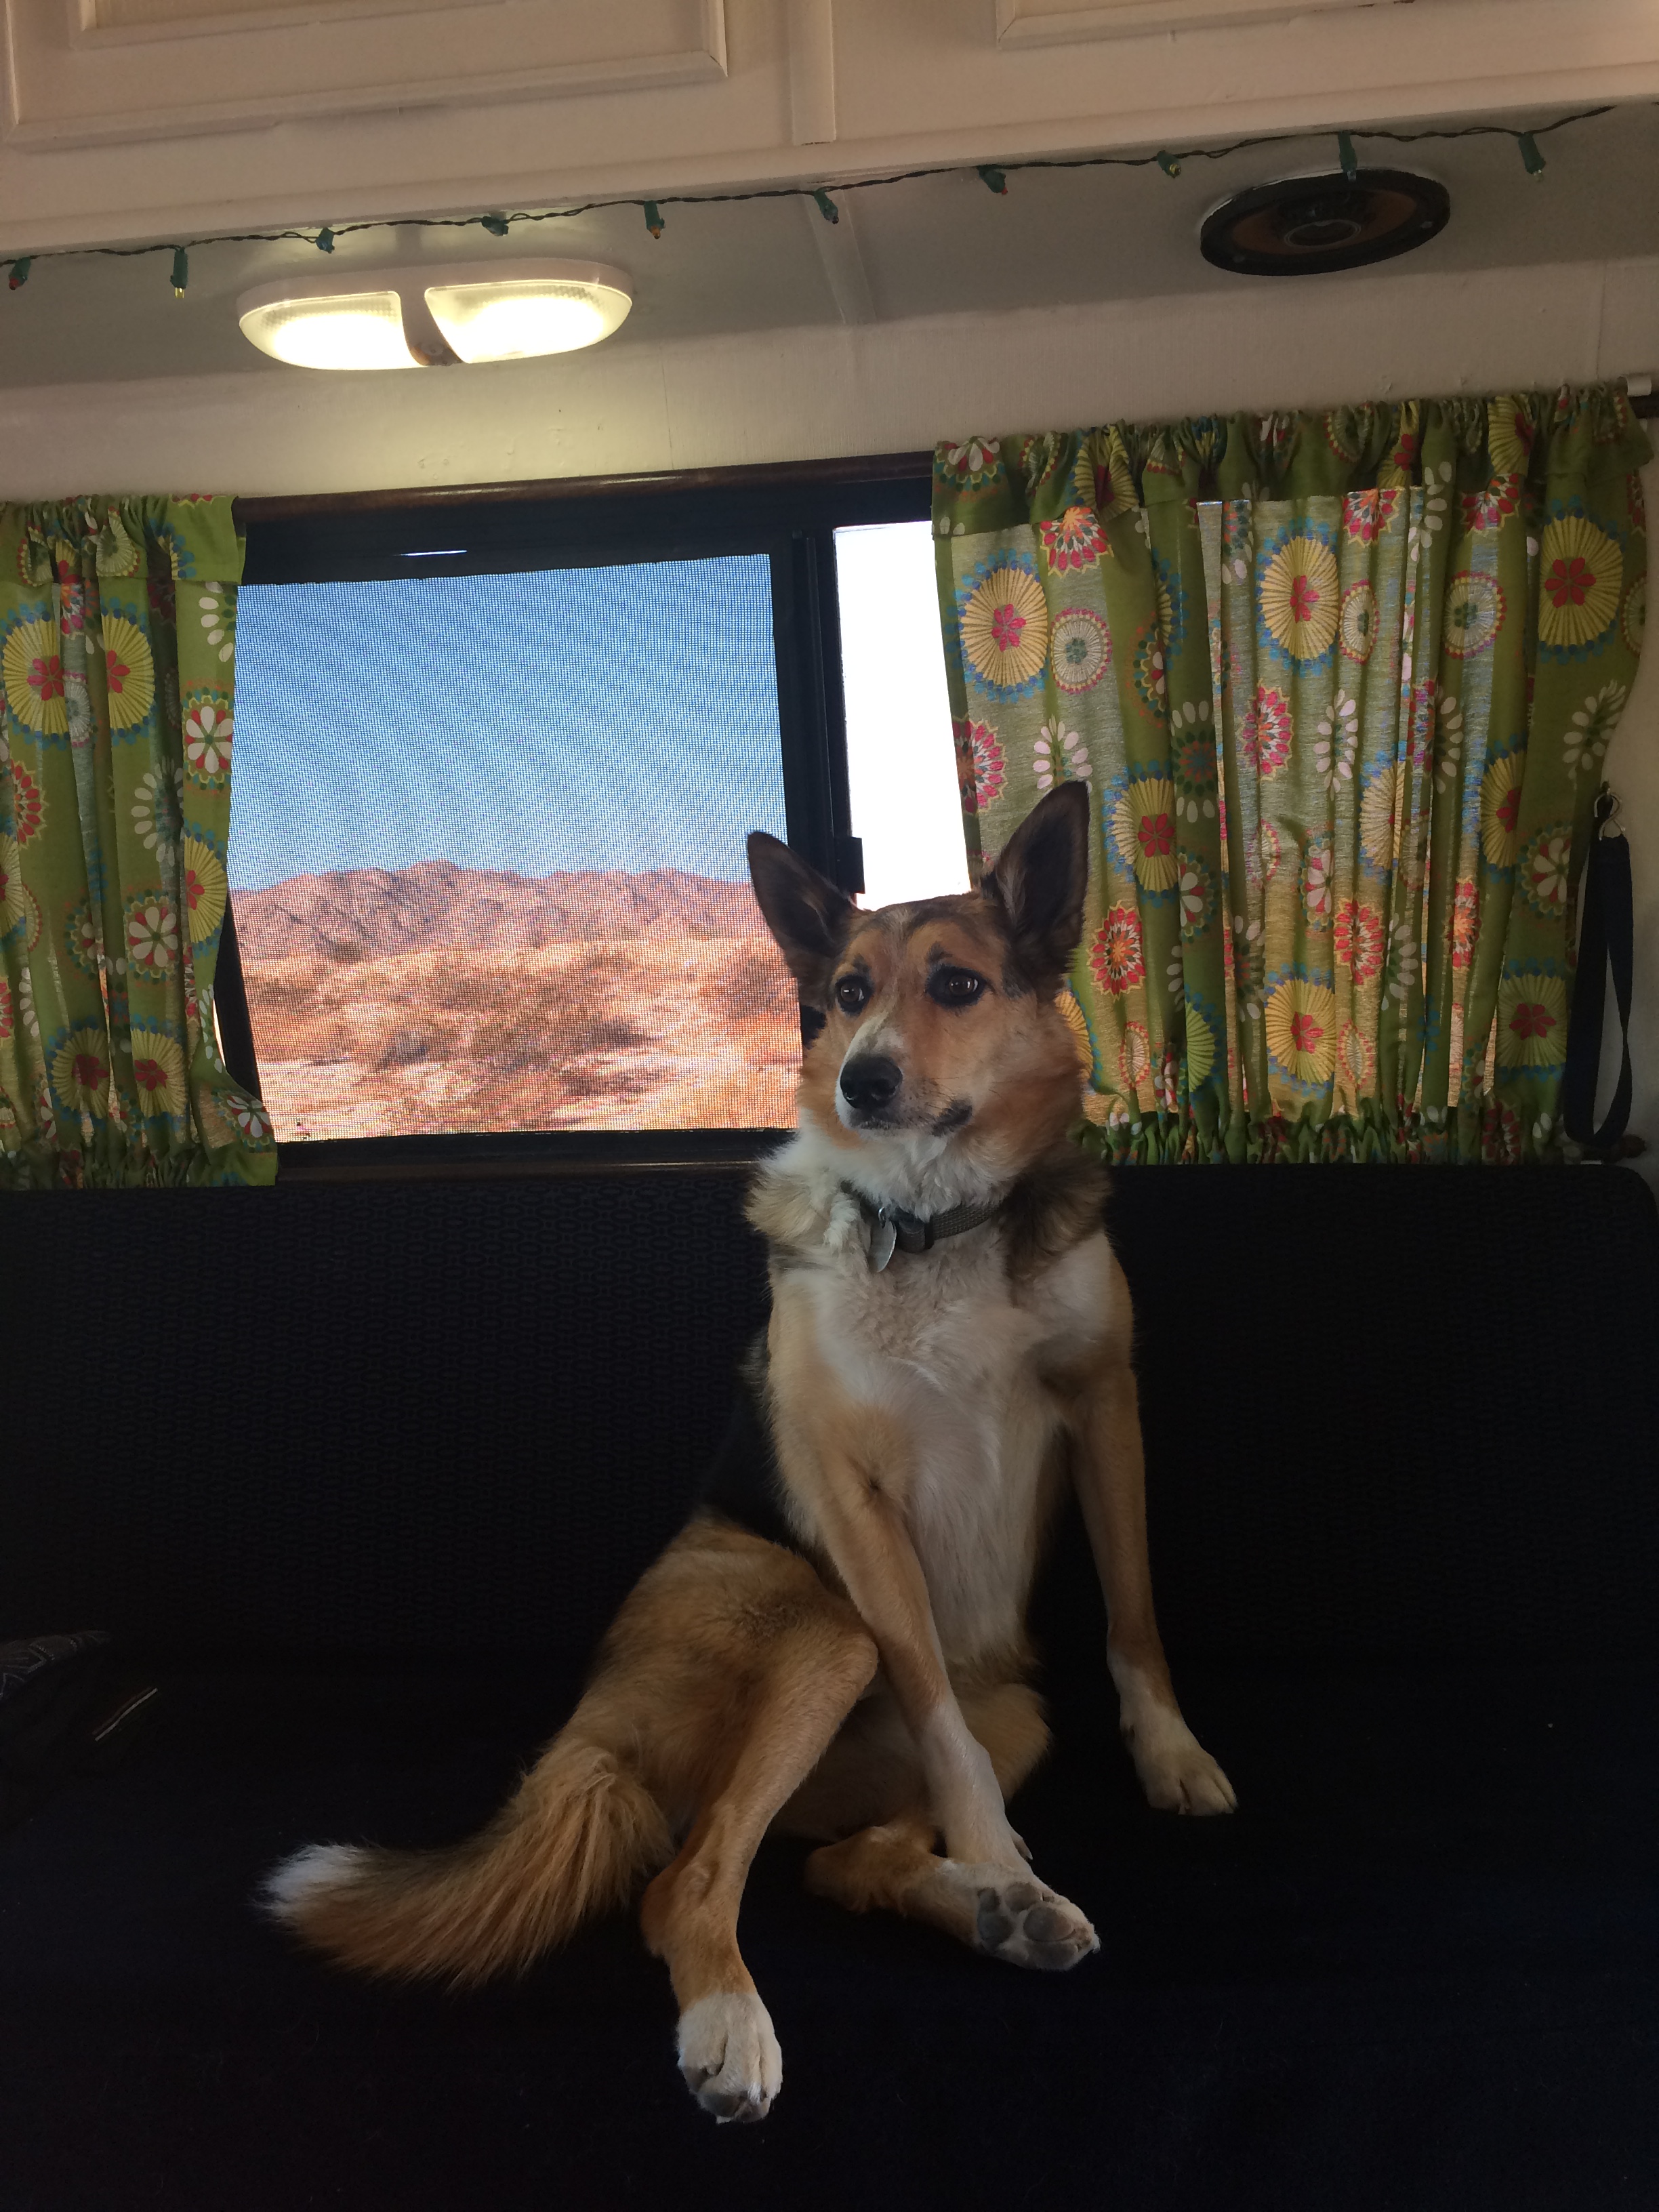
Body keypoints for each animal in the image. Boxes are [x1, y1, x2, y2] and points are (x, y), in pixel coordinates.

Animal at [263, 779, 1235, 2123]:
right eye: (846, 991)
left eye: (958, 984)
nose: (865, 1081)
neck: (934, 1222)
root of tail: (587, 1742)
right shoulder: (853, 1494)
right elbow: (939, 1716)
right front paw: (995, 1847)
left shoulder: (1104, 1405)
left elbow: (1134, 1617)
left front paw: (1170, 1757)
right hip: (825, 1635)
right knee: (686, 1882)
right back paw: (747, 2016)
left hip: (1018, 1717)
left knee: (841, 1863)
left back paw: (1003, 1913)